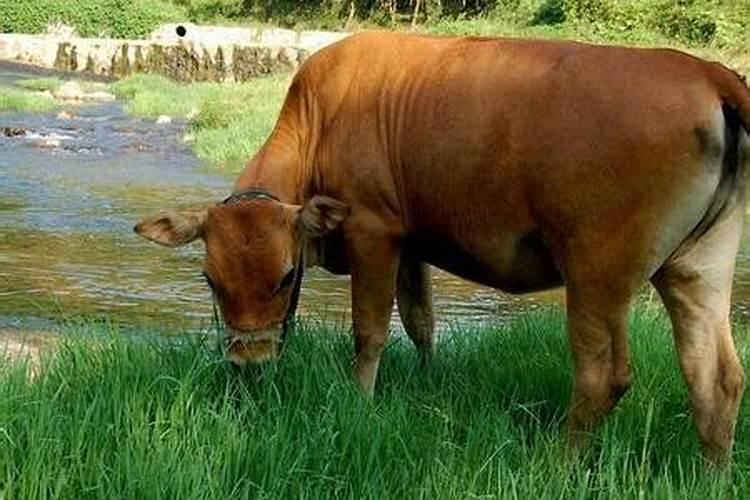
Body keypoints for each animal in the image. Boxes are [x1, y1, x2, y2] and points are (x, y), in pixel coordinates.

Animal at [135, 30, 750, 460]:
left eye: (285, 277)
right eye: (210, 280)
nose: (248, 364)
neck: (319, 120)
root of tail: (704, 71)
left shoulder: (373, 231)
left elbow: (371, 331)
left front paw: (361, 402)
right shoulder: (413, 245)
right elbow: (421, 321)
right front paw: (429, 382)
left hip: (597, 271)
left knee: (604, 377)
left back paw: (559, 464)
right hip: (698, 266)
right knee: (715, 378)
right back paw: (710, 473)